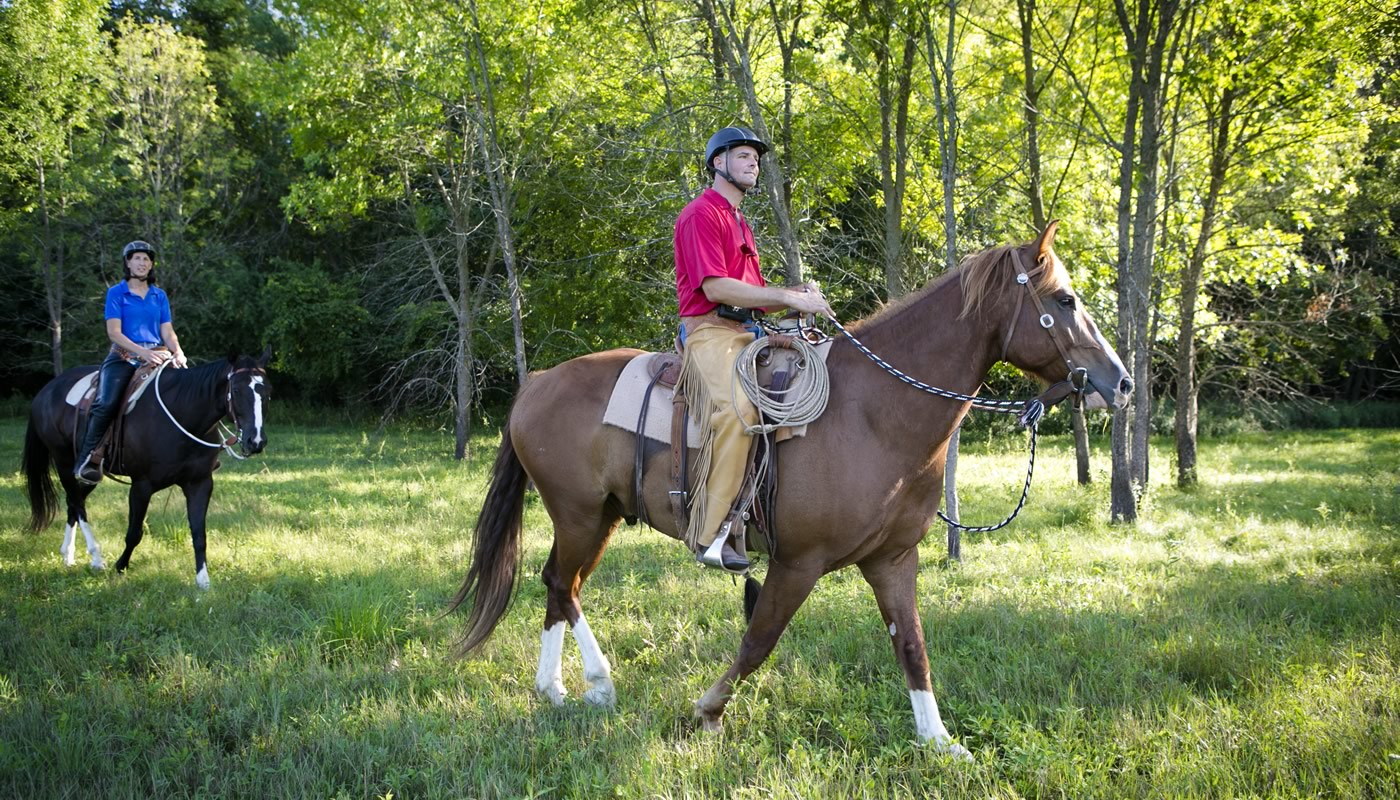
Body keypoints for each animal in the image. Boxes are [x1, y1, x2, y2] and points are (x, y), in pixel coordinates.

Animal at [22, 350, 270, 588]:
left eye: (267, 391)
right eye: (236, 390)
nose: (256, 440)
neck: (182, 415)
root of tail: (46, 391)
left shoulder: (200, 483)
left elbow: (199, 534)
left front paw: (203, 581)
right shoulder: (142, 485)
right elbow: (134, 533)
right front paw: (120, 567)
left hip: (91, 475)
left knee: (73, 502)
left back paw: (68, 554)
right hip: (64, 463)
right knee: (78, 503)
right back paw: (96, 557)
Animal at [453, 222, 1131, 756]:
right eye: (1065, 298)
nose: (1120, 382)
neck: (873, 412)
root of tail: (536, 383)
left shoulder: (893, 559)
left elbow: (912, 644)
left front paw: (938, 741)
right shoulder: (797, 562)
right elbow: (759, 640)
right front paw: (706, 711)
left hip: (601, 516)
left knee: (559, 586)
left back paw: (557, 688)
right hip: (579, 513)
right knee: (560, 584)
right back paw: (597, 681)